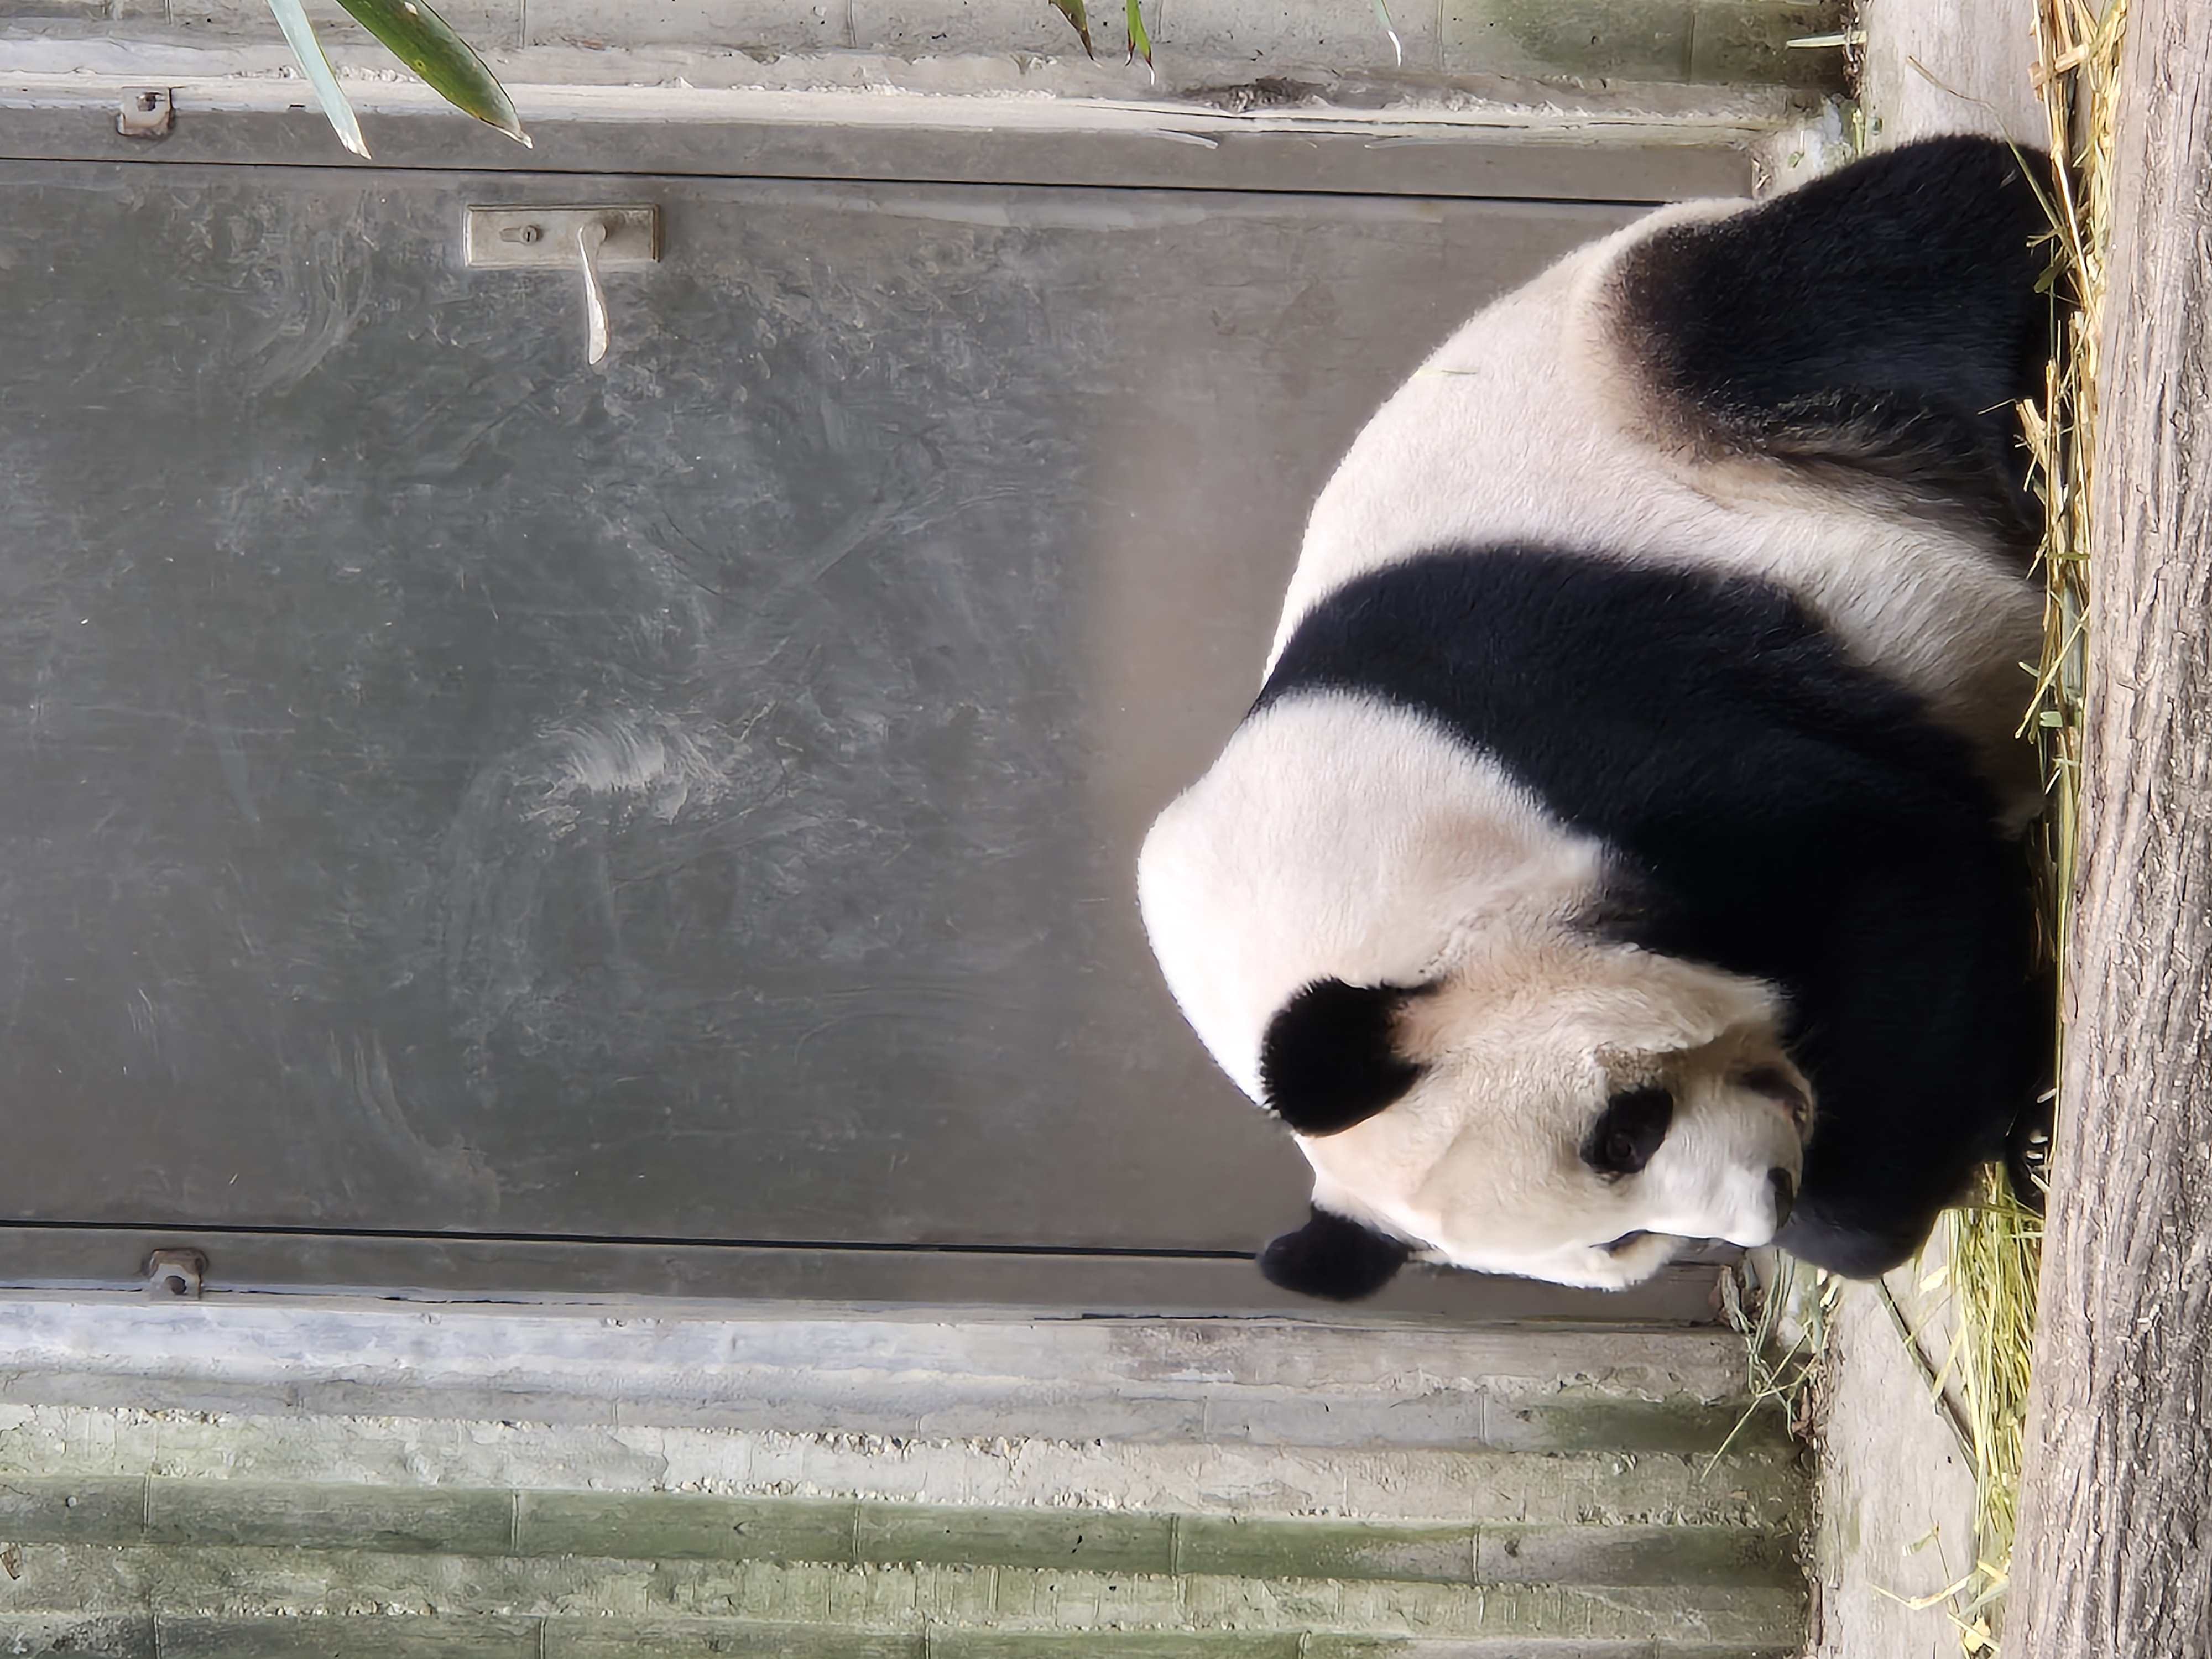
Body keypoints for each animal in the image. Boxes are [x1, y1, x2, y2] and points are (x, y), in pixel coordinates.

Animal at [1137, 136, 2055, 1297]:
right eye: (1623, 1241)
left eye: (1623, 1129)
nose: (1765, 1200)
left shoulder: (1577, 728)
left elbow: (1897, 868)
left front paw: (1906, 1184)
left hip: (1659, 364)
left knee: (1879, 266)